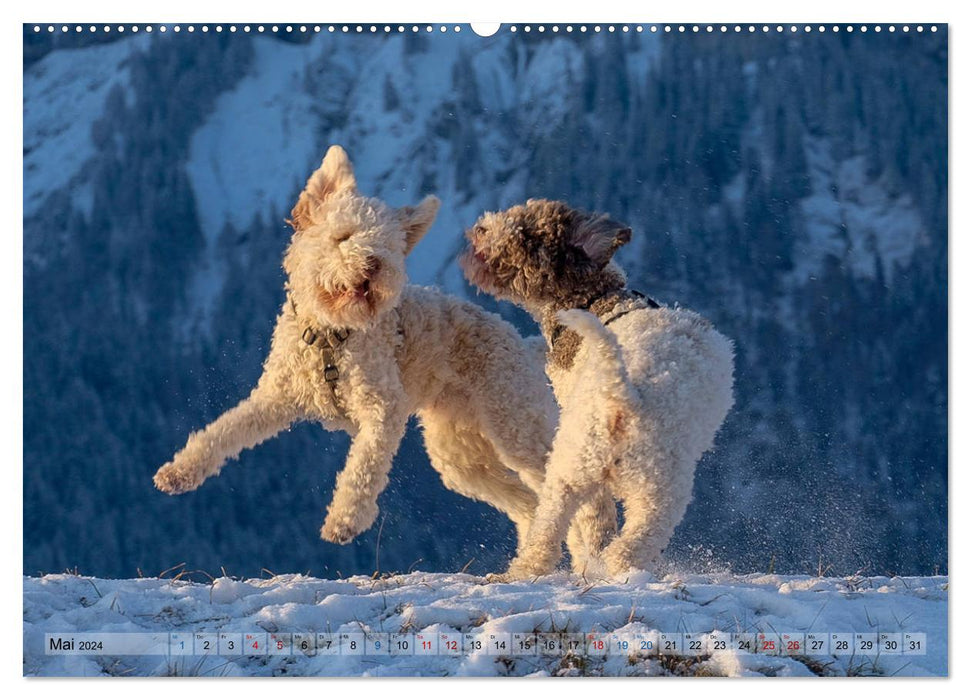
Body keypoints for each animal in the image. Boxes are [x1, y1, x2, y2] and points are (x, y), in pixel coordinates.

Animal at [464, 200, 736, 576]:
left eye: (527, 233)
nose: (480, 229)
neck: (598, 297)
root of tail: (625, 398)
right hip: (642, 484)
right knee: (616, 537)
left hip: (580, 465)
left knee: (569, 526)